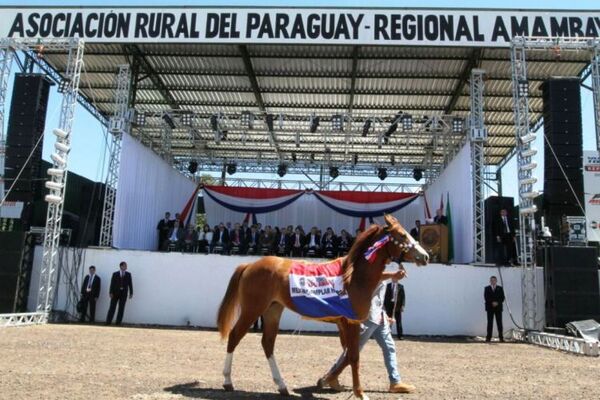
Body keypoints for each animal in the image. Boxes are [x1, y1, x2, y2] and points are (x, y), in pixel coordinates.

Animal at [216, 216, 426, 400]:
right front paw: (359, 392)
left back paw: (282, 386)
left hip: (273, 310)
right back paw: (227, 382)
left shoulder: (345, 324)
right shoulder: (350, 322)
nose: (424, 256)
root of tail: (250, 265)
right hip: (252, 309)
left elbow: (347, 353)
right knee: (234, 336)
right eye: (402, 235)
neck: (353, 277)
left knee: (267, 343)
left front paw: (332, 382)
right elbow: (353, 356)